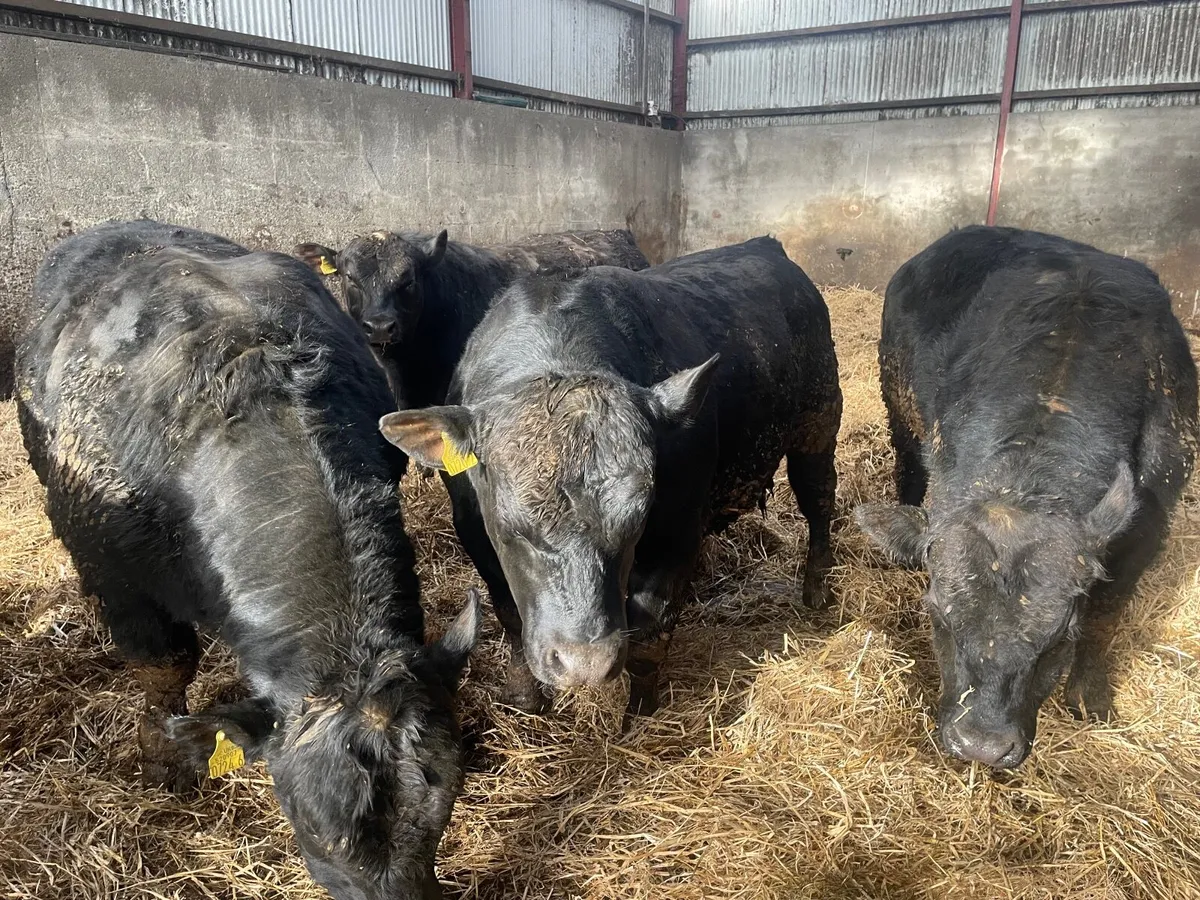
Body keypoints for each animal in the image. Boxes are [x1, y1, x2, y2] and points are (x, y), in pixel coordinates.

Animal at [376, 237, 842, 716]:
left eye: (637, 521)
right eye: (512, 529)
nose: (584, 663)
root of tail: (767, 247)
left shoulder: (677, 535)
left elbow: (650, 631)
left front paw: (640, 715)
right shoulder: (475, 535)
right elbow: (509, 615)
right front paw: (524, 695)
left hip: (818, 425)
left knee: (820, 503)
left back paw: (816, 589)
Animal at [856, 225, 1198, 769]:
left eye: (1061, 634)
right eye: (938, 615)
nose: (980, 745)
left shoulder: (1146, 532)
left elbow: (1107, 616)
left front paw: (1089, 697)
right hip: (899, 401)